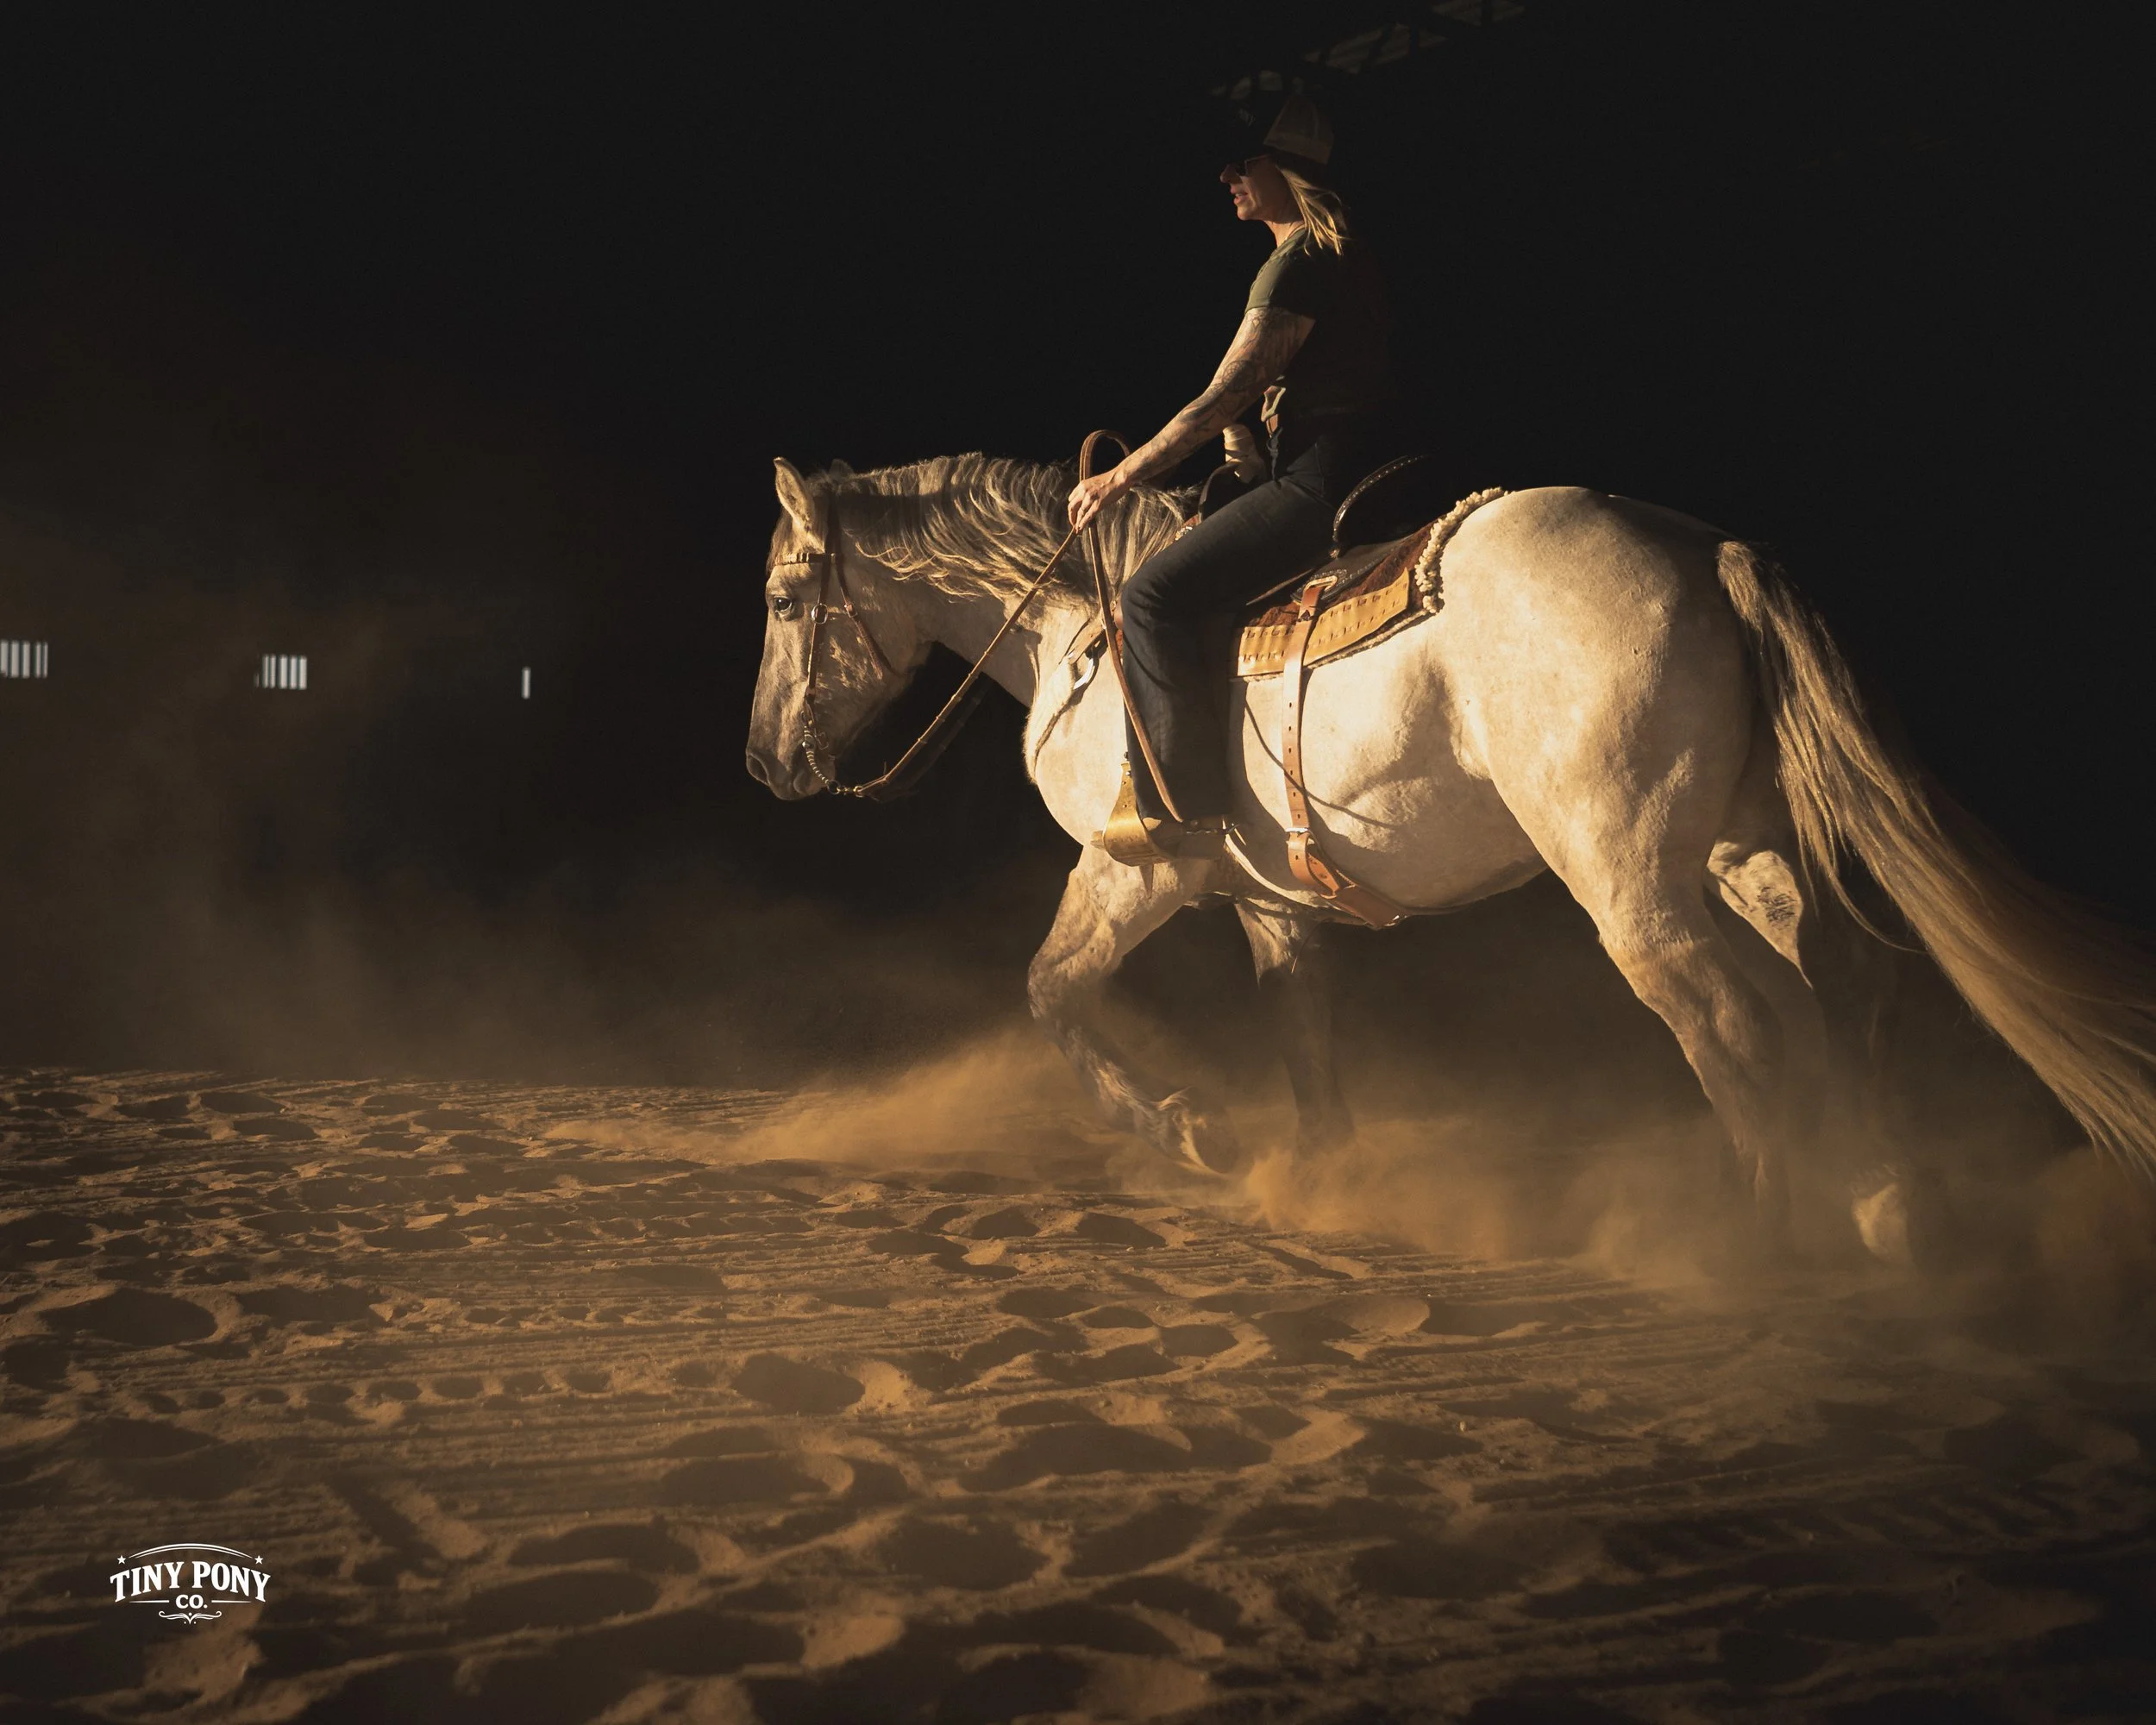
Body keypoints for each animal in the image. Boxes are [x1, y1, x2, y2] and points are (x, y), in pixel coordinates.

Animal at [746, 451, 2156, 1256]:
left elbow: (1051, 992)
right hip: (1742, 846)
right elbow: (1304, 1033)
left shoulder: (1138, 867)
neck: (1085, 628)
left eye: (780, 597)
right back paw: (1885, 1205)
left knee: (1724, 1021)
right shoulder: (1271, 905)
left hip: (1629, 877)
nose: (766, 762)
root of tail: (1701, 550)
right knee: (1846, 983)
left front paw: (1192, 1132)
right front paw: (1313, 1181)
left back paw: (1763, 1237)